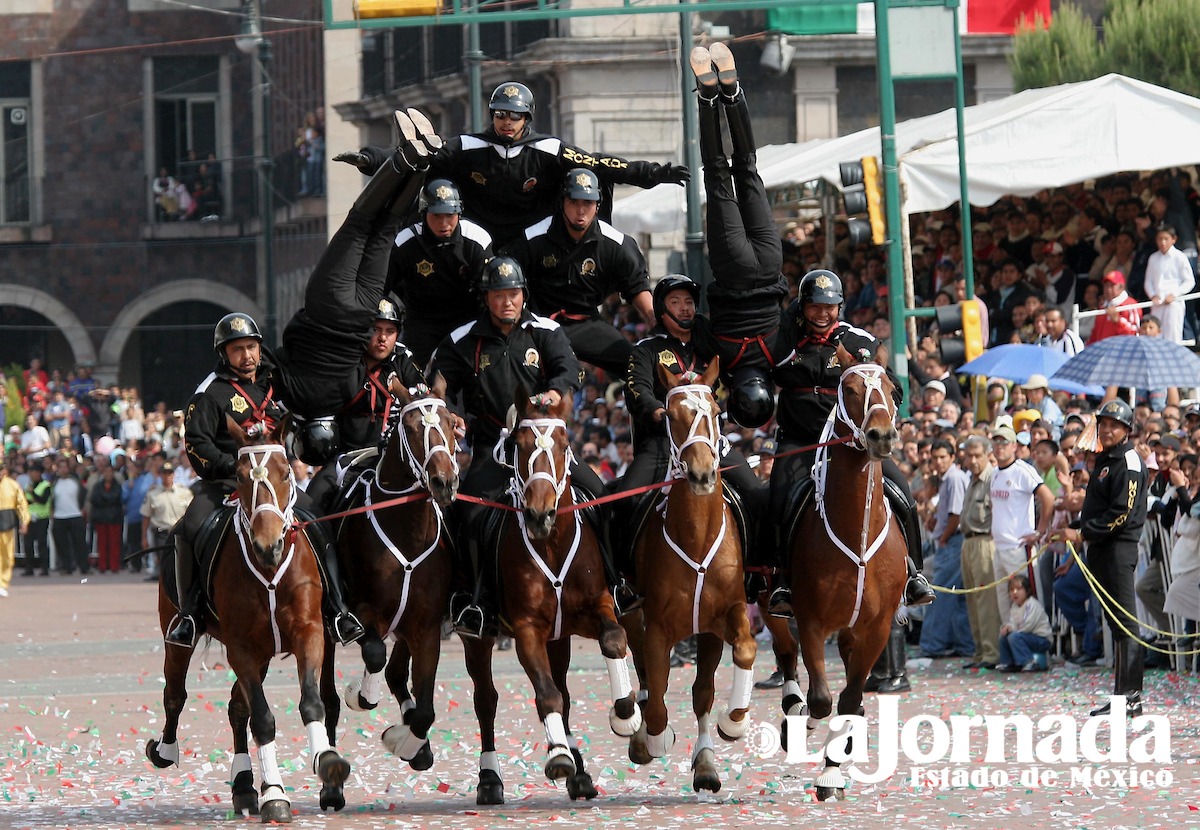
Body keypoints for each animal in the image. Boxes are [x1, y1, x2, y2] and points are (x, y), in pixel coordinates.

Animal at [146, 417, 350, 820]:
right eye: (239, 477)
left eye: (287, 471)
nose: (267, 545)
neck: (268, 569)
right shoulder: (241, 647)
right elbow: (263, 718)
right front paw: (275, 794)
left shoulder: (309, 633)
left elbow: (311, 702)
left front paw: (327, 760)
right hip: (179, 636)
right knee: (175, 694)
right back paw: (166, 750)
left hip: (265, 653)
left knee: (235, 708)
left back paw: (242, 786)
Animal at [338, 381, 458, 772]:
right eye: (413, 428)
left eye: (452, 423)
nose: (444, 482)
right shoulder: (364, 612)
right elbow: (374, 653)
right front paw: (359, 695)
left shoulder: (426, 627)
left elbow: (426, 710)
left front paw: (407, 742)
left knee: (395, 674)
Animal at [460, 388, 648, 806]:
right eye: (519, 444)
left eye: (564, 445)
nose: (539, 514)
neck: (551, 544)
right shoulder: (527, 629)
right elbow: (546, 695)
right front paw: (559, 755)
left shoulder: (597, 607)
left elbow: (614, 640)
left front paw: (626, 713)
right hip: (479, 638)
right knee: (486, 700)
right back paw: (490, 780)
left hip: (560, 637)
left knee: (564, 688)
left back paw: (581, 773)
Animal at [624, 359, 753, 796]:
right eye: (671, 415)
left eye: (715, 412)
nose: (701, 475)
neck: (696, 537)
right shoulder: (658, 628)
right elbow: (658, 696)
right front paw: (653, 739)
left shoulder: (723, 618)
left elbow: (734, 663)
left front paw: (730, 727)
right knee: (647, 680)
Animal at [763, 343, 902, 796]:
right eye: (850, 389)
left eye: (892, 388)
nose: (881, 435)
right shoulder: (811, 620)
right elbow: (822, 699)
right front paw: (802, 729)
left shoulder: (876, 626)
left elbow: (849, 698)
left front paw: (832, 768)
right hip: (768, 602)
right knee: (785, 651)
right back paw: (793, 709)